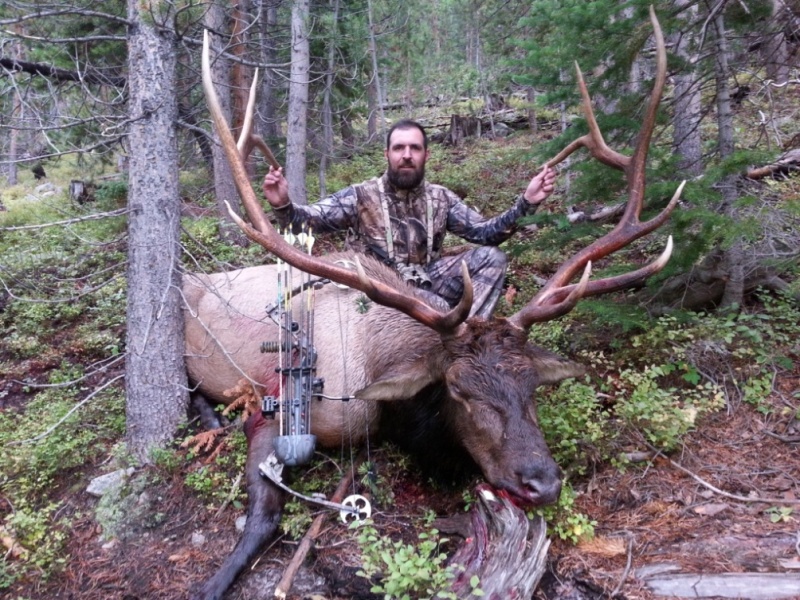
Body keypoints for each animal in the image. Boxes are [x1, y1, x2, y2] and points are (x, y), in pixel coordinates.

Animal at [186, 7, 681, 599]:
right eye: (460, 390)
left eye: (532, 385)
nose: (541, 482)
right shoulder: (275, 410)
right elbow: (262, 518)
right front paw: (211, 584)